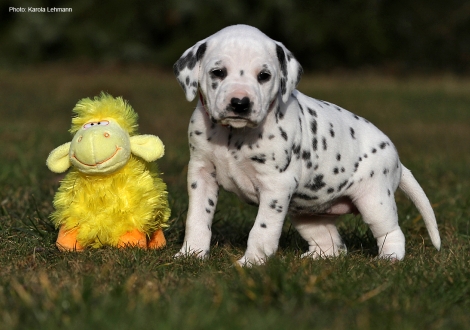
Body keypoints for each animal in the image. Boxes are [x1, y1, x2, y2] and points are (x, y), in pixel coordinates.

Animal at [173, 23, 440, 266]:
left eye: (264, 76)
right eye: (218, 72)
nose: (240, 103)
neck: (233, 135)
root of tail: (398, 161)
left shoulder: (275, 186)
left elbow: (262, 230)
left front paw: (251, 262)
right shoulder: (201, 174)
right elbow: (197, 218)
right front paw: (191, 254)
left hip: (375, 200)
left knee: (391, 232)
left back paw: (389, 258)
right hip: (307, 215)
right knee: (333, 245)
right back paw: (312, 259)